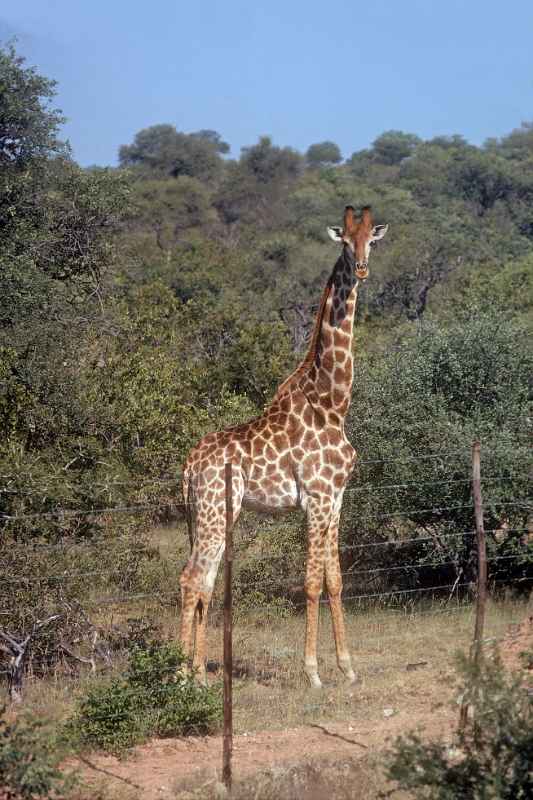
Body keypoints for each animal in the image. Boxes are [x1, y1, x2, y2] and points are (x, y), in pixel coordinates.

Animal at [179, 206, 386, 688]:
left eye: (372, 239)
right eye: (344, 242)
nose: (361, 269)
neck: (333, 401)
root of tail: (188, 466)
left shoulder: (336, 499)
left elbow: (335, 580)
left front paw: (347, 668)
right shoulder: (316, 497)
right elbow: (311, 582)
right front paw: (313, 673)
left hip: (208, 515)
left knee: (203, 580)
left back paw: (198, 673)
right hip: (216, 513)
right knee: (192, 579)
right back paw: (179, 674)